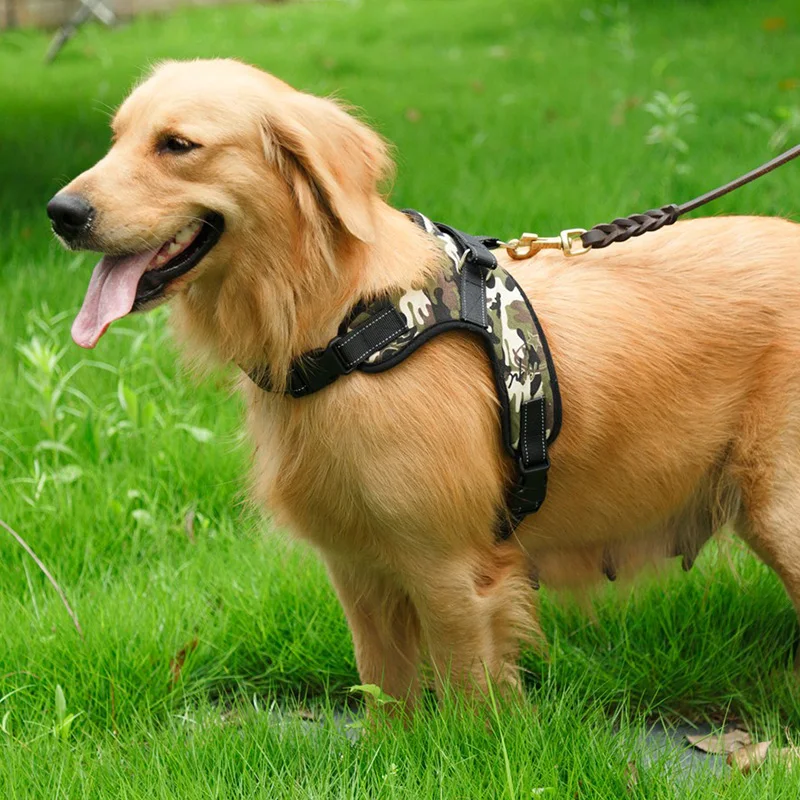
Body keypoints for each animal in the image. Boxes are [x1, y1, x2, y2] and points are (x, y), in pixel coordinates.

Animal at [47, 61, 800, 712]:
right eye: (117, 138)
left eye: (177, 145)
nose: (61, 211)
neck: (348, 327)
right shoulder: (356, 568)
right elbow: (386, 694)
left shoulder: (451, 570)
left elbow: (468, 698)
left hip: (781, 513)